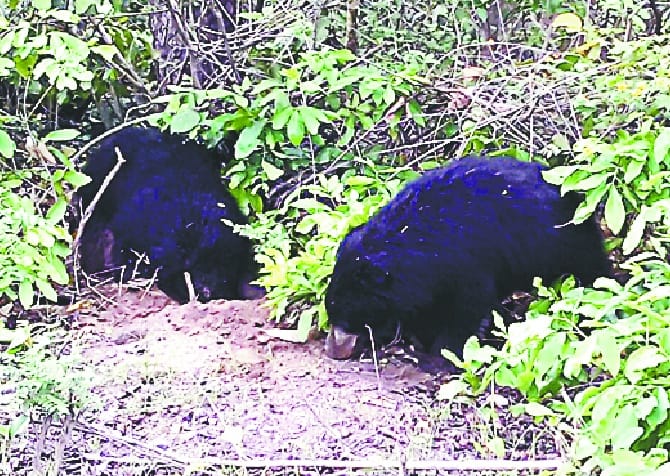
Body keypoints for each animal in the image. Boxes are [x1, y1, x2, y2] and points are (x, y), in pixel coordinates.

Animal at [324, 156, 611, 370]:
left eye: (345, 318)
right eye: (332, 312)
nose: (332, 350)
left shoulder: (466, 260)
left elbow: (467, 307)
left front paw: (444, 350)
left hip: (562, 238)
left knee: (590, 264)